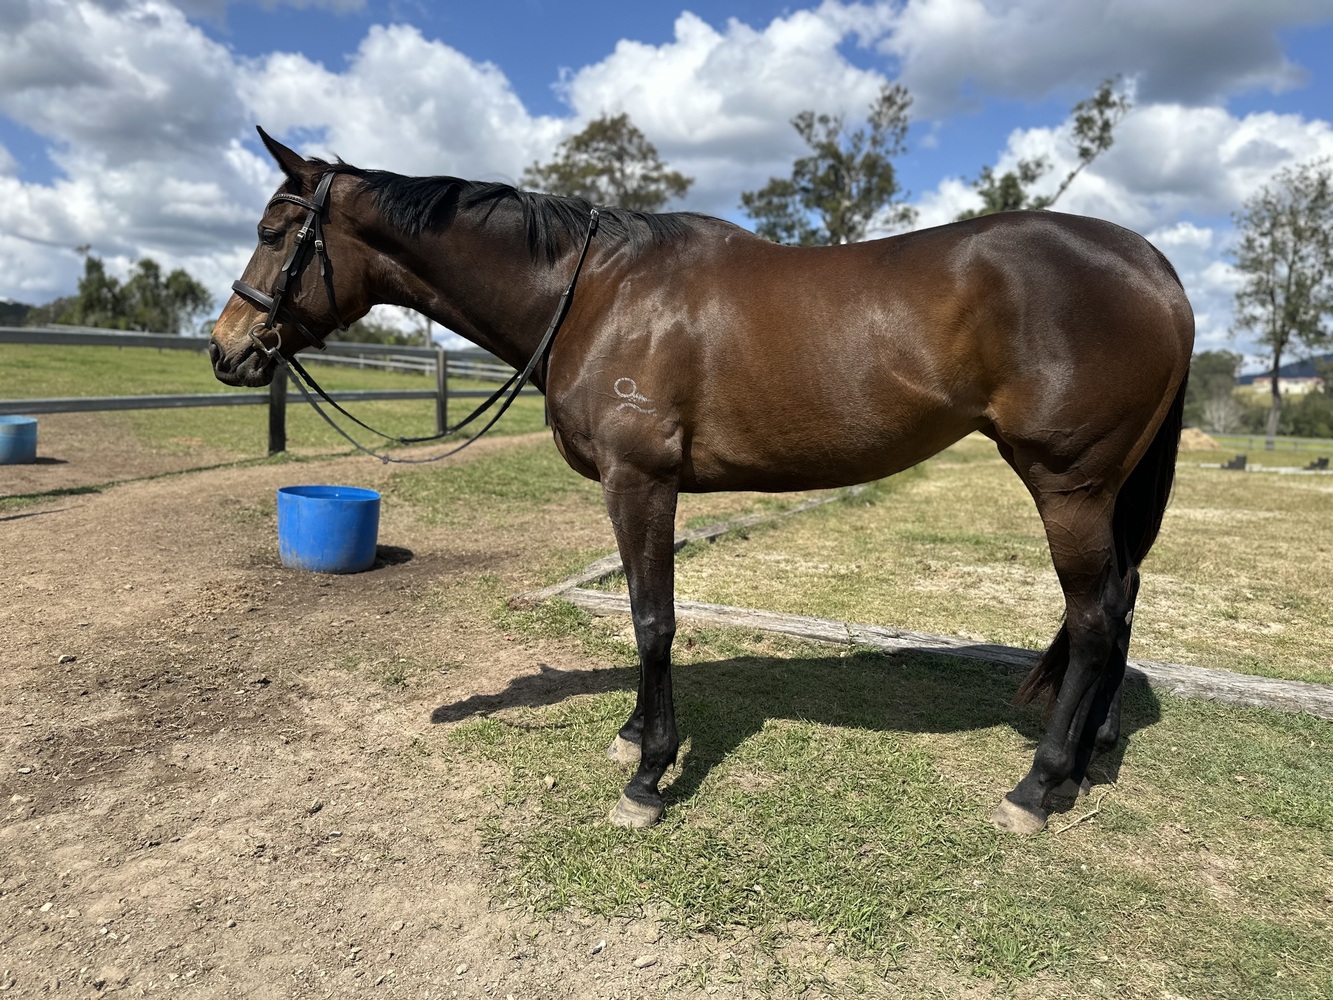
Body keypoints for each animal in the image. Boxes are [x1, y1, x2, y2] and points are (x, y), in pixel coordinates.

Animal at [210, 128, 1194, 836]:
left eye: (274, 233)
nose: (228, 351)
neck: (597, 293)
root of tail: (1151, 266)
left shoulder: (639, 482)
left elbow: (653, 621)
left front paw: (649, 776)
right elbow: (643, 618)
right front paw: (632, 738)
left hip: (1068, 485)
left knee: (1094, 616)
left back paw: (1036, 787)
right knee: (1121, 600)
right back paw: (1086, 761)